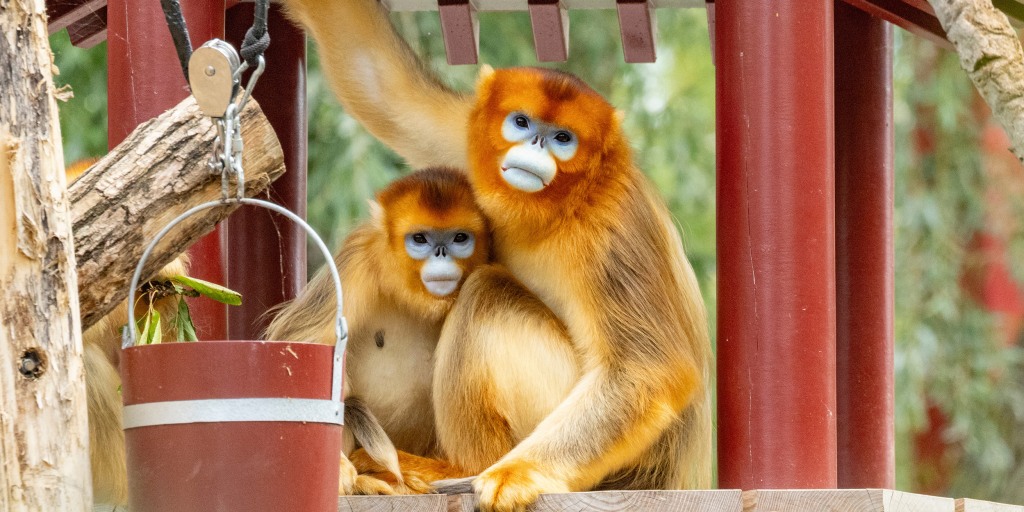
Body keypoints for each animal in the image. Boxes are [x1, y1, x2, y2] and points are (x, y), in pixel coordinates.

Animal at [264, 166, 490, 494]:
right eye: (420, 239)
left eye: (460, 238)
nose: (441, 254)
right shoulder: (357, 258)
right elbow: (300, 343)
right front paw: (337, 468)